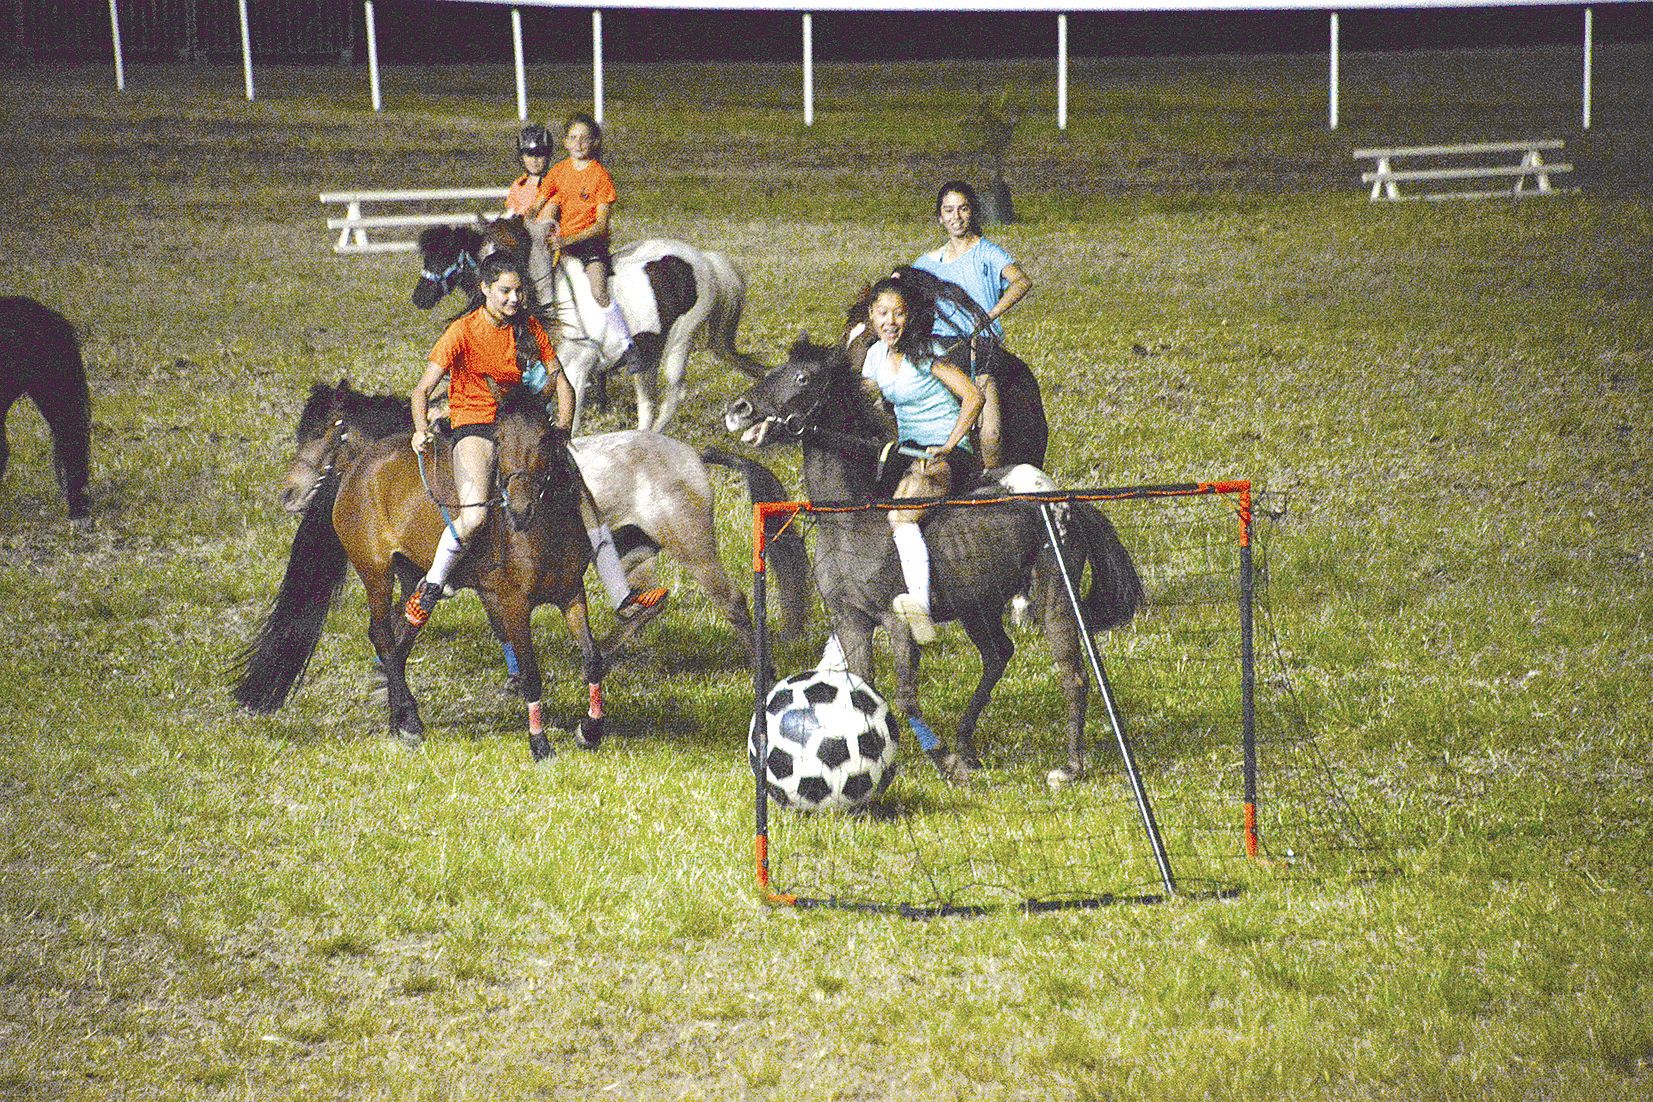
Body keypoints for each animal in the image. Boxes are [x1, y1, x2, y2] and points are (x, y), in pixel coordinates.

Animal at [239, 383, 608, 763]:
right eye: (500, 440)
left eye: (546, 438)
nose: (288, 493)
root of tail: (358, 468)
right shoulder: (511, 603)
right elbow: (531, 673)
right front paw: (540, 743)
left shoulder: (570, 593)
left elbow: (593, 659)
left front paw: (590, 730)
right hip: (376, 572)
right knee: (383, 635)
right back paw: (411, 722)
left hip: (409, 577)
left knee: (400, 636)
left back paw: (400, 718)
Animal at [730, 337, 1143, 783]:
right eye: (775, 369)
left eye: (803, 377)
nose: (738, 410)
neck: (851, 520)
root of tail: (1068, 502)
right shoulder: (851, 619)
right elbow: (859, 687)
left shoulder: (897, 622)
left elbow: (905, 695)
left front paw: (942, 759)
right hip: (978, 607)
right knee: (998, 655)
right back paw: (966, 746)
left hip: (1055, 598)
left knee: (1074, 675)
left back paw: (1068, 767)